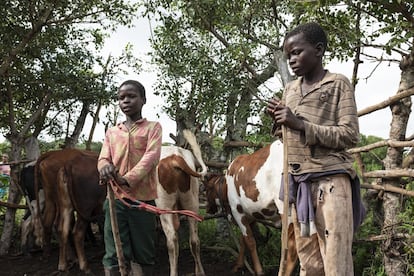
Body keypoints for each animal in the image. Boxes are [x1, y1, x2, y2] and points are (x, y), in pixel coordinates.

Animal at [155, 130, 207, 276]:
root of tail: (175, 157)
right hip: (192, 204)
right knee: (194, 240)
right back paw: (200, 271)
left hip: (164, 208)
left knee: (172, 241)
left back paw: (173, 272)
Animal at [204, 140, 298, 276]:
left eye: (206, 189)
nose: (207, 209)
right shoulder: (250, 215)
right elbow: (243, 239)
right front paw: (238, 265)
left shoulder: (237, 211)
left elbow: (250, 241)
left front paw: (258, 270)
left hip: (287, 208)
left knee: (291, 247)